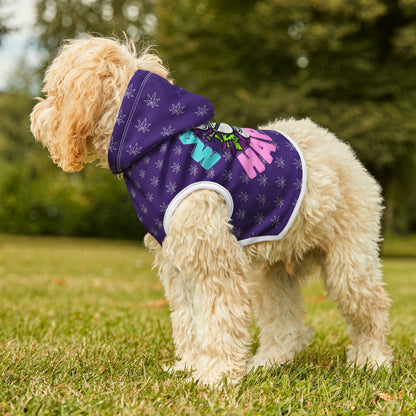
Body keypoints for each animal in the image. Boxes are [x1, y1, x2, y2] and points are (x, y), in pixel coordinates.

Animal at [30, 37, 392, 386]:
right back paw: (268, 362)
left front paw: (215, 375)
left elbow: (218, 320)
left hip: (349, 263)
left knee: (372, 309)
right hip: (273, 273)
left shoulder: (214, 260)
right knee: (286, 326)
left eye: (54, 92)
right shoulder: (178, 262)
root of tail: (341, 148)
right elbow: (189, 320)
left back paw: (372, 360)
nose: (35, 117)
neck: (156, 145)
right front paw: (190, 366)